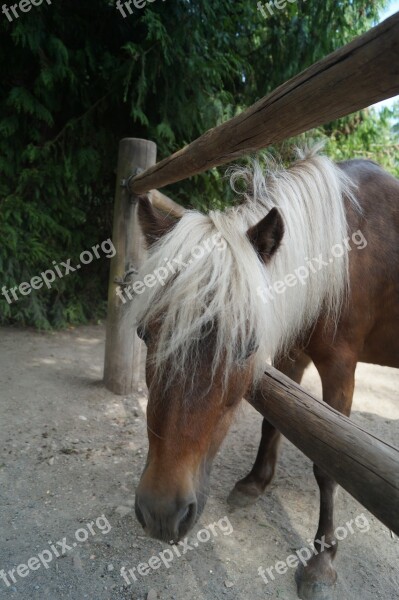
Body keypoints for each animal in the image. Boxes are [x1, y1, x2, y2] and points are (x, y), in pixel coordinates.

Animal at [132, 146, 399, 600]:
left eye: (246, 346)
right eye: (144, 334)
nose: (161, 513)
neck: (343, 252)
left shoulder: (341, 367)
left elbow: (328, 464)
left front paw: (321, 559)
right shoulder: (293, 352)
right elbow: (274, 423)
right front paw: (255, 482)